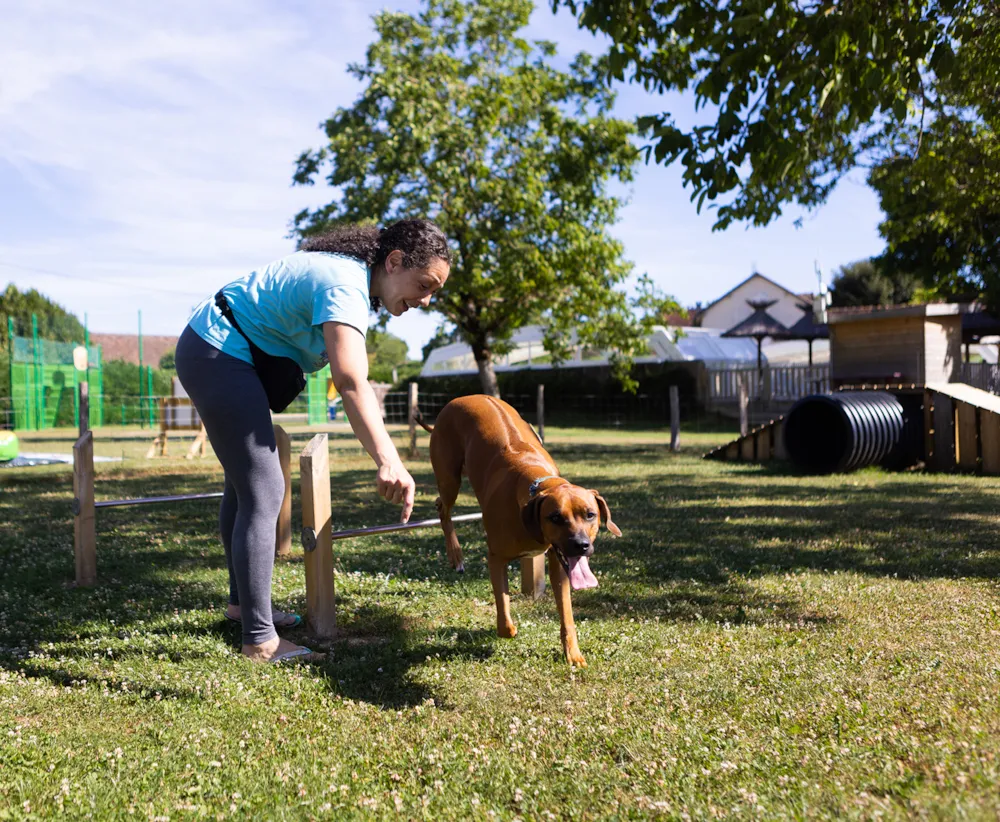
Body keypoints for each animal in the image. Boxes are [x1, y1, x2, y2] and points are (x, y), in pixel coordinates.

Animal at [412, 394, 616, 668]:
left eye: (590, 515)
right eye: (555, 517)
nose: (581, 545)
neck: (537, 483)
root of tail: (461, 398)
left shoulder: (559, 562)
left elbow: (566, 614)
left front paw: (572, 653)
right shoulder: (496, 557)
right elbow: (504, 611)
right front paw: (508, 628)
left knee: (438, 504)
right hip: (449, 477)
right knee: (443, 509)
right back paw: (456, 555)